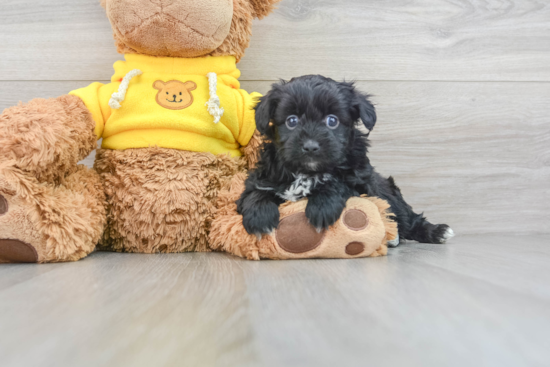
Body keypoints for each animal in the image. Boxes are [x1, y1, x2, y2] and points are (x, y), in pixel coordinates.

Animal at [239, 75, 454, 246]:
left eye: (332, 121)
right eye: (292, 121)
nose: (310, 146)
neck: (308, 172)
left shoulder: (362, 183)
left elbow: (339, 183)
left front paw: (322, 207)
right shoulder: (263, 175)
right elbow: (255, 192)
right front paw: (260, 216)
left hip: (391, 195)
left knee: (408, 218)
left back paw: (436, 232)